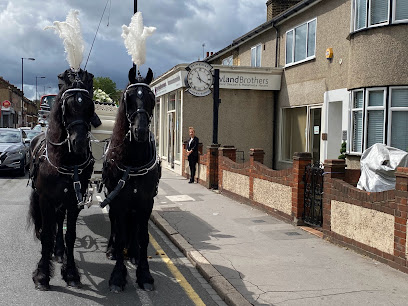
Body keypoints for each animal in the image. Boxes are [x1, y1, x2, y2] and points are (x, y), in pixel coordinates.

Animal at [28, 68, 95, 290]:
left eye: (90, 105)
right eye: (67, 106)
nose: (79, 142)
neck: (67, 161)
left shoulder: (74, 201)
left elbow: (70, 235)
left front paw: (71, 272)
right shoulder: (45, 199)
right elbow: (46, 235)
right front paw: (42, 275)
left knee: (58, 221)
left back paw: (59, 252)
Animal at [101, 67, 160, 292]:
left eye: (152, 98)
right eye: (129, 98)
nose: (140, 131)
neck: (133, 161)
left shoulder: (145, 201)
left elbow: (143, 236)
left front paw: (144, 274)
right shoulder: (118, 200)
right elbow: (119, 234)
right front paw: (118, 275)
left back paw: (133, 252)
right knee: (114, 224)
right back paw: (112, 250)